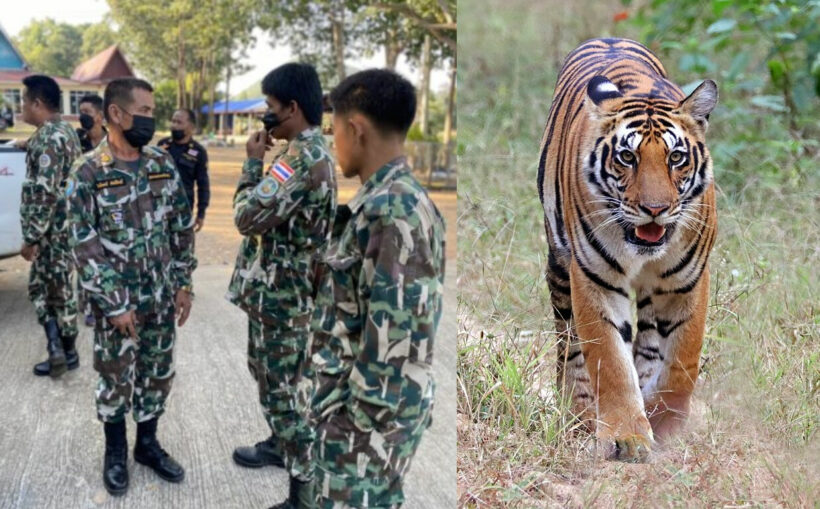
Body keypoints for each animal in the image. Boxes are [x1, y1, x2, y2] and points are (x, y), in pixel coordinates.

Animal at [536, 37, 716, 462]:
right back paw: (581, 413)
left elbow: (683, 360)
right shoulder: (595, 279)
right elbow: (609, 360)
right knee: (569, 346)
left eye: (676, 158)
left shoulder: (687, 282)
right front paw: (627, 437)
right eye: (627, 157)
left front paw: (664, 423)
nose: (655, 208)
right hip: (560, 268)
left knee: (650, 343)